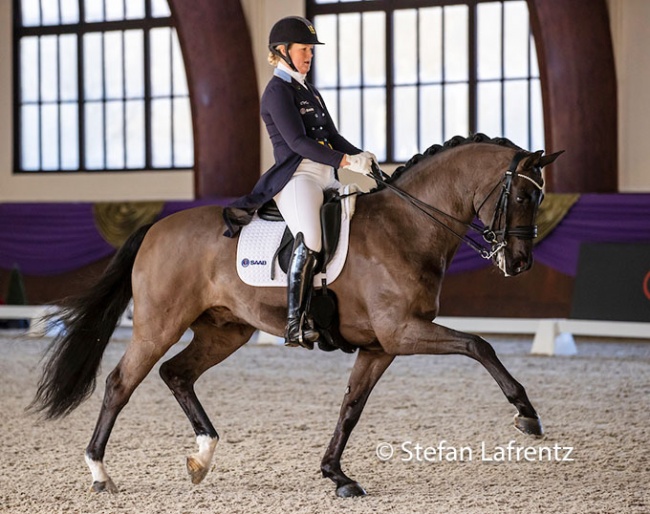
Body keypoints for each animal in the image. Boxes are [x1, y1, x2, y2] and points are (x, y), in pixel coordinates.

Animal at [30, 134, 560, 494]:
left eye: (539, 197)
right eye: (521, 196)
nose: (519, 263)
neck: (406, 227)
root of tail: (155, 227)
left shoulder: (380, 346)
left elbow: (351, 407)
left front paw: (336, 474)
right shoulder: (402, 332)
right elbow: (479, 344)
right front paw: (527, 415)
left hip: (226, 331)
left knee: (176, 373)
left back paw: (202, 456)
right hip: (158, 325)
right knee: (121, 383)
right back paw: (101, 473)